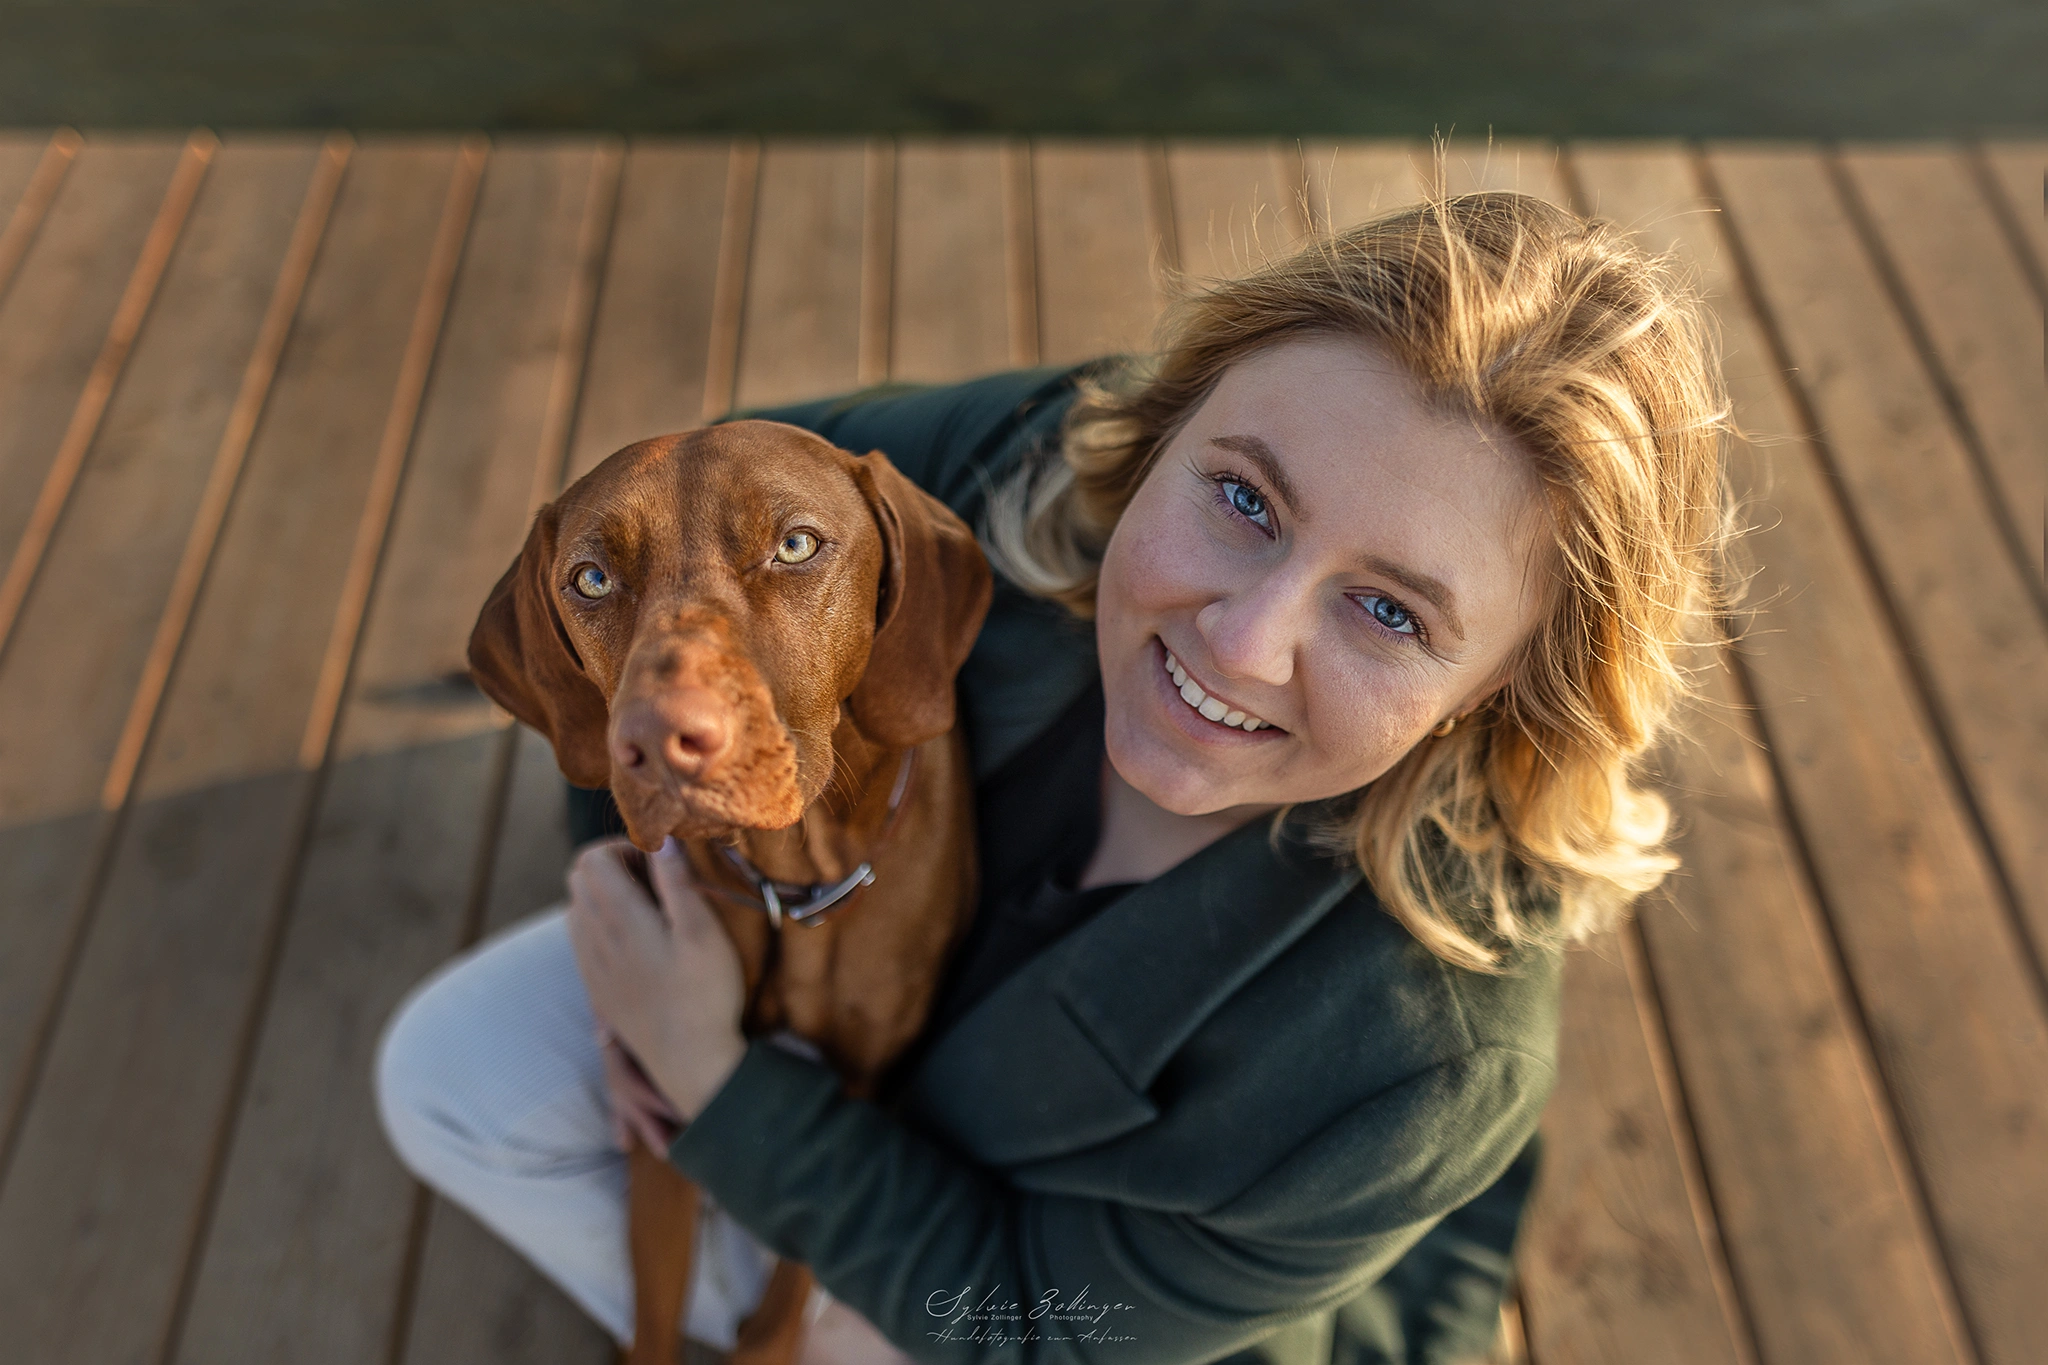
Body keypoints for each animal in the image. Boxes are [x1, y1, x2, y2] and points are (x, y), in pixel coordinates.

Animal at [473, 423, 999, 1365]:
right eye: (591, 579)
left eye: (796, 545)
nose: (657, 740)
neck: (794, 879)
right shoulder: (664, 1102)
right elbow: (656, 1311)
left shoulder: (865, 1081)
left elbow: (802, 1260)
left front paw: (768, 1334)